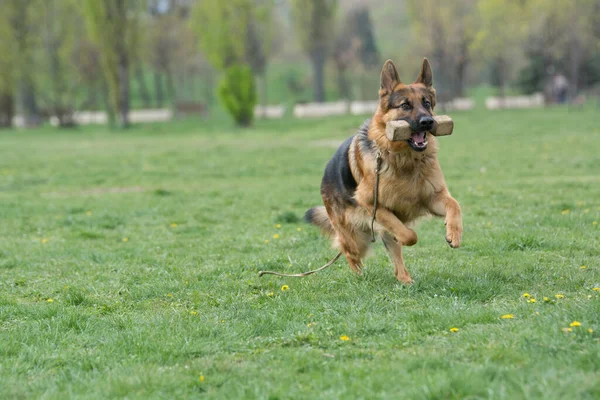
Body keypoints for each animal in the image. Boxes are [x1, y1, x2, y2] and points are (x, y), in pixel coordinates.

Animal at [304, 58, 464, 284]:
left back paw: (405, 280)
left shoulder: (432, 198)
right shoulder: (373, 205)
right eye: (405, 105)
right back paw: (360, 277)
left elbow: (454, 205)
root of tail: (327, 170)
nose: (428, 122)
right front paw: (407, 236)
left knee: (395, 258)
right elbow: (409, 235)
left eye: (426, 103)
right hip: (356, 238)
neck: (405, 160)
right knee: (348, 252)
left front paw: (454, 234)